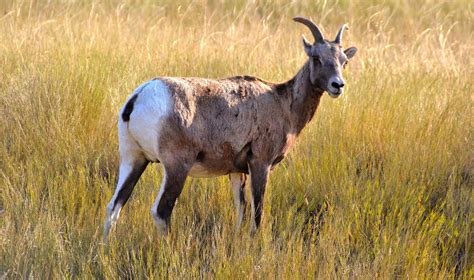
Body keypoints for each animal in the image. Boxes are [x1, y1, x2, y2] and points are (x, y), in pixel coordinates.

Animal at [103, 16, 356, 237]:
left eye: (344, 61)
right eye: (316, 58)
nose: (338, 85)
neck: (284, 103)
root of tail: (139, 96)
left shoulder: (236, 171)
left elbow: (240, 210)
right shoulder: (260, 164)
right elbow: (256, 212)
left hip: (134, 160)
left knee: (114, 207)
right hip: (176, 166)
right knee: (161, 211)